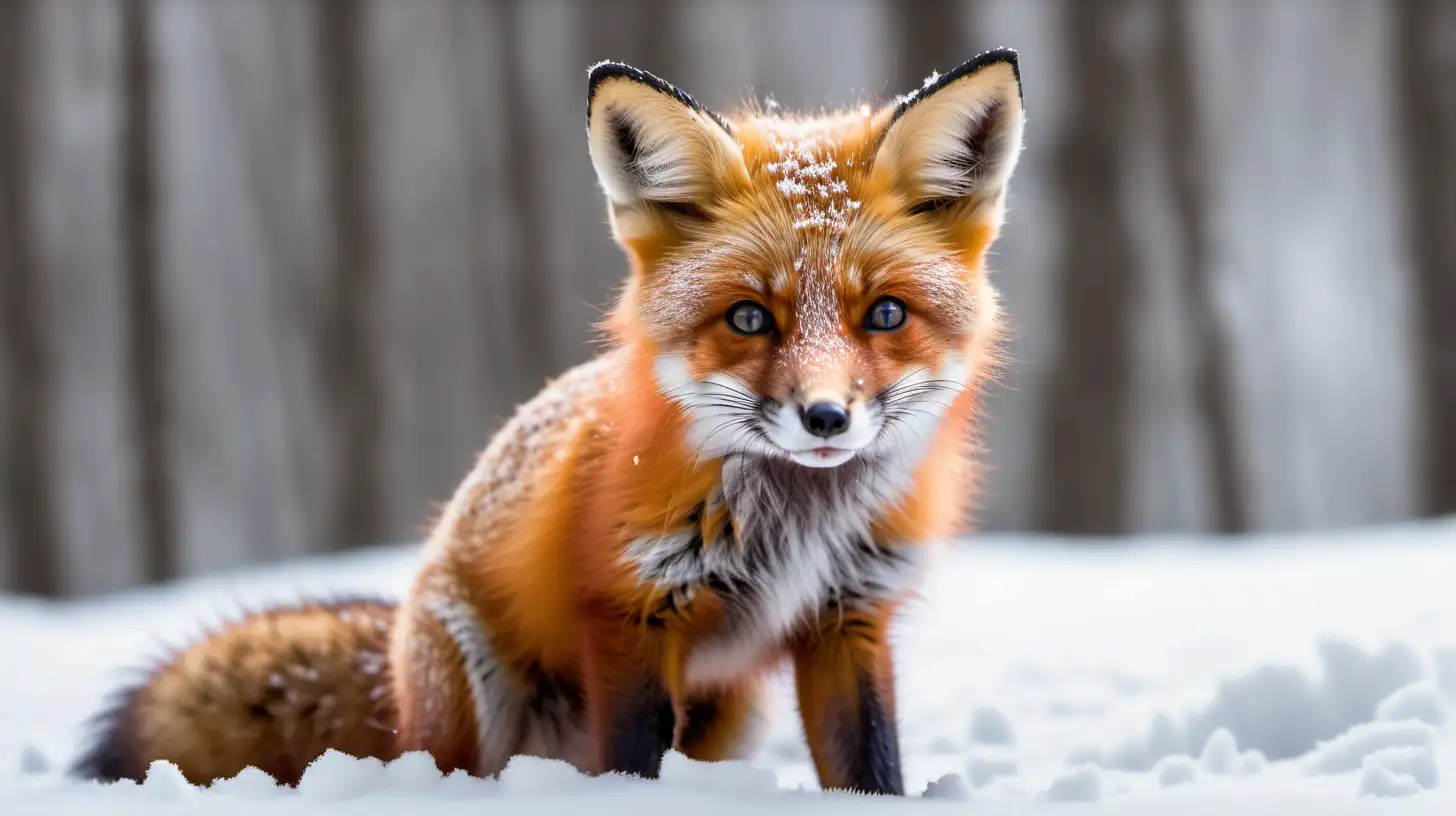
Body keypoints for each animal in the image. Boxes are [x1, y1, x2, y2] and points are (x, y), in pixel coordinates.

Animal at [70, 52, 1025, 798]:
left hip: (734, 711)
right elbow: (633, 765)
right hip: (474, 696)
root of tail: (393, 668)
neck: (796, 526)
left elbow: (870, 768)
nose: (826, 417)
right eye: (750, 319)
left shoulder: (847, 618)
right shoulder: (630, 612)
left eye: (887, 315)